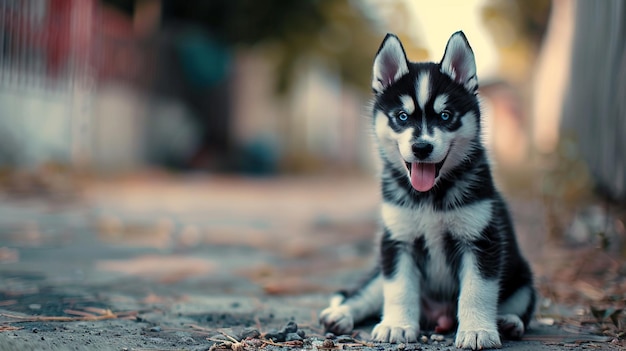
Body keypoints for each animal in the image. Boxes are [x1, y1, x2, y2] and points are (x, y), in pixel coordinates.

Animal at [320, 31, 532, 350]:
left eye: (445, 116)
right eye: (402, 116)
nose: (421, 147)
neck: (430, 196)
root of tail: (437, 316)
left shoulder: (482, 240)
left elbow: (477, 291)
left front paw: (478, 331)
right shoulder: (397, 241)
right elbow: (398, 289)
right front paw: (396, 325)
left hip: (523, 279)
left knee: (520, 306)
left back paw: (508, 322)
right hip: (381, 268)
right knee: (366, 294)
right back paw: (341, 313)